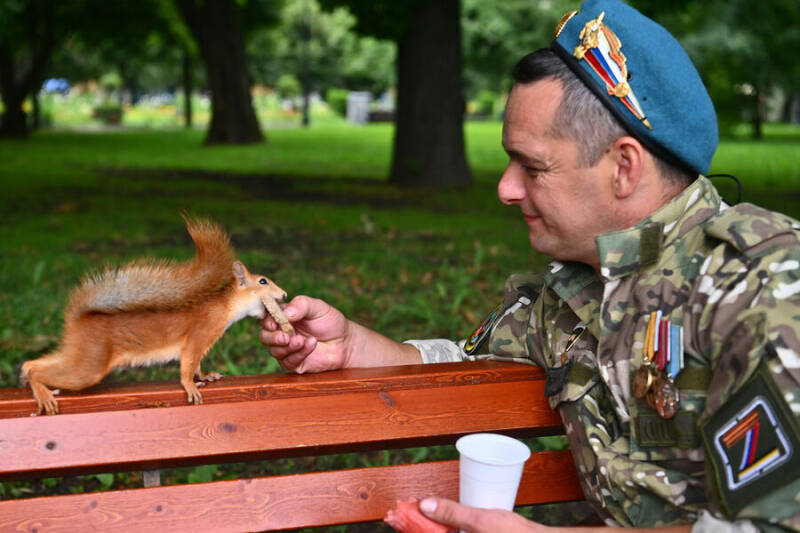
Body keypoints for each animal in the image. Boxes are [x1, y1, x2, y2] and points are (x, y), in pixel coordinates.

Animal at [20, 217, 292, 416]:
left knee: (34, 363)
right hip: (89, 365)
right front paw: (191, 385)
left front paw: (206, 376)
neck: (224, 308)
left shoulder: (200, 345)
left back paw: (33, 379)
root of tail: (78, 320)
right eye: (263, 281)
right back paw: (42, 391)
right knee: (42, 371)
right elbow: (188, 364)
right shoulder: (198, 336)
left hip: (77, 354)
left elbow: (197, 364)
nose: (284, 294)